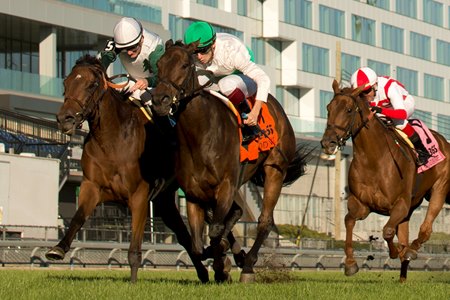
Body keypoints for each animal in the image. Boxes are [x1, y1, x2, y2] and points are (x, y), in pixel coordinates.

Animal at [45, 54, 207, 284]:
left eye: (92, 84)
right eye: (66, 83)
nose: (65, 118)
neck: (112, 140)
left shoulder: (139, 194)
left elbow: (135, 246)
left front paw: (132, 281)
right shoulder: (92, 186)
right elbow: (77, 217)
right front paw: (58, 249)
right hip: (164, 200)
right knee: (184, 235)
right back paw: (206, 272)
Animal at [149, 41, 310, 282]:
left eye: (185, 65)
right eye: (158, 65)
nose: (160, 100)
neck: (201, 135)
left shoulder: (225, 186)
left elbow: (216, 231)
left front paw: (222, 265)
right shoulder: (194, 194)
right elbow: (198, 245)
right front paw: (221, 260)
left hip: (274, 169)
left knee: (264, 220)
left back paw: (248, 266)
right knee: (236, 213)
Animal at [320, 79, 450, 282]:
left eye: (348, 110)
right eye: (328, 108)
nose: (328, 142)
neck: (373, 159)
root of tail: (444, 141)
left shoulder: (400, 203)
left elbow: (388, 230)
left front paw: (395, 252)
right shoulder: (362, 204)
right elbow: (349, 220)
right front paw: (350, 264)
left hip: (439, 189)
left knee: (425, 229)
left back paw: (411, 250)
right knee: (405, 235)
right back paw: (403, 277)